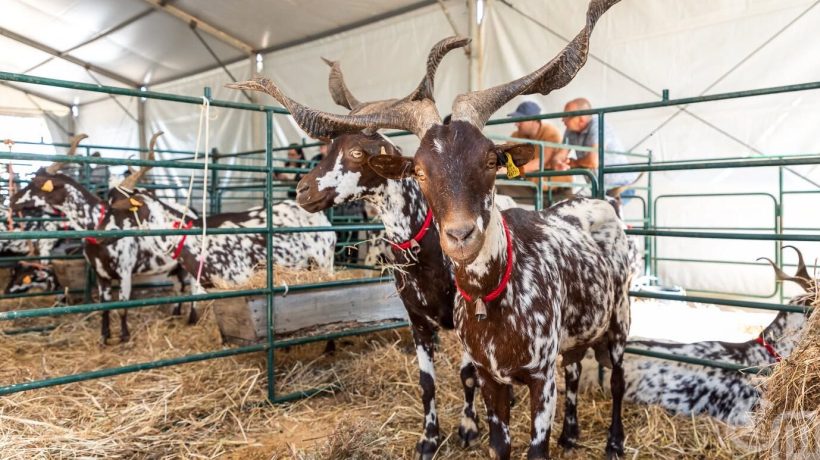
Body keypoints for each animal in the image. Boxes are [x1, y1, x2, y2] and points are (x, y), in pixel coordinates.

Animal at [11, 134, 195, 343]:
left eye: (39, 184)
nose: (12, 201)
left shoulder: (125, 272)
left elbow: (122, 307)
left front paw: (124, 338)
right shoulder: (101, 274)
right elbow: (104, 307)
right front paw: (105, 337)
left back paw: (191, 318)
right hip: (175, 266)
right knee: (179, 287)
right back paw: (175, 315)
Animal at [230, 1, 627, 458]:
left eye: (491, 159)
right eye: (418, 169)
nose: (303, 190)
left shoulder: (529, 370)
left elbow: (473, 383)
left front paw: (467, 429)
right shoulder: (419, 322)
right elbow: (428, 383)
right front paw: (428, 439)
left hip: (619, 317)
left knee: (616, 379)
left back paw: (613, 441)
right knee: (575, 365)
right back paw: (572, 433)